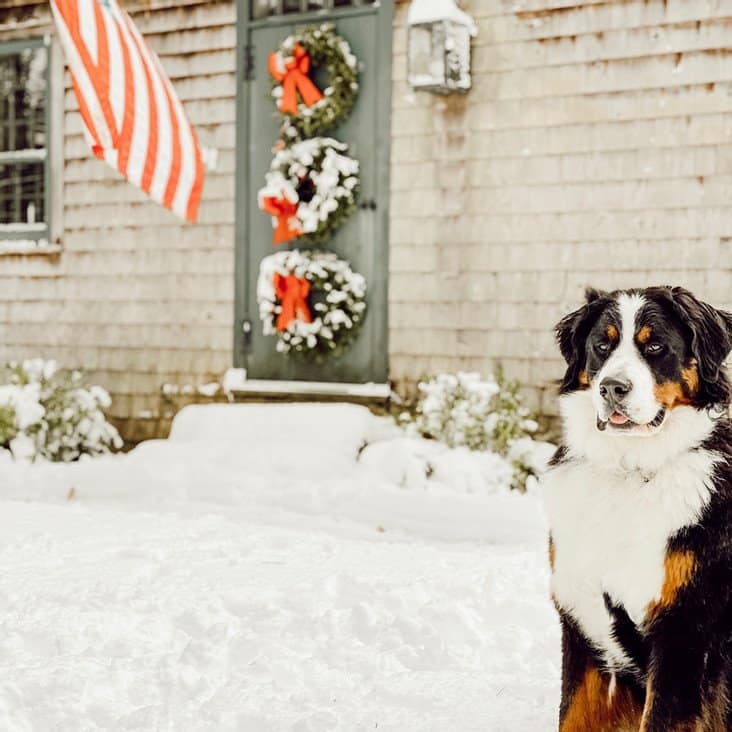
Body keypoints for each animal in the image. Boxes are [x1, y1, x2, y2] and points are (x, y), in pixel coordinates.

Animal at [540, 288, 732, 732]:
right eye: (602, 345)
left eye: (655, 346)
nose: (613, 387)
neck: (629, 472)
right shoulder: (582, 623)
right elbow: (571, 716)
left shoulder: (684, 631)